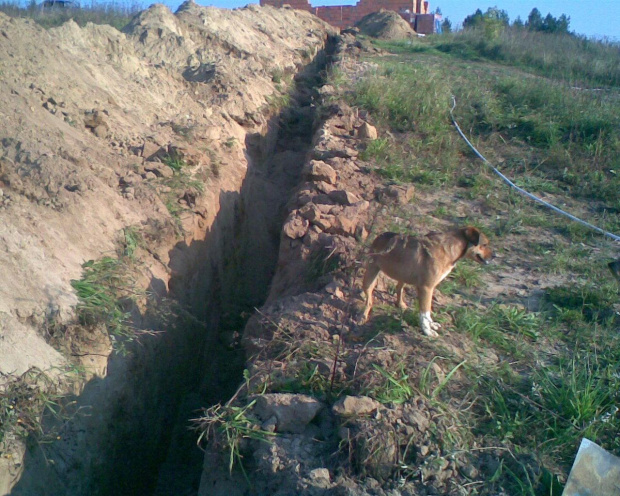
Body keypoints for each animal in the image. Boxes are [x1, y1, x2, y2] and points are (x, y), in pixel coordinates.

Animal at [358, 226, 494, 338]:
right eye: (484, 244)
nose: (495, 256)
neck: (450, 249)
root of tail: (379, 236)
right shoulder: (426, 288)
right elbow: (424, 312)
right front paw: (427, 331)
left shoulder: (429, 288)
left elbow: (428, 312)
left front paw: (431, 325)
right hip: (369, 277)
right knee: (369, 300)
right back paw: (363, 316)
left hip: (403, 276)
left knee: (398, 288)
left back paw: (401, 304)